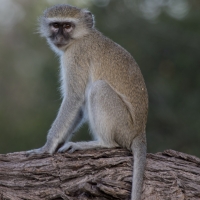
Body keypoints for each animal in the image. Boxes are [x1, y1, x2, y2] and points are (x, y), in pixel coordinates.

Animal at [27, 4, 148, 200]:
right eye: (56, 25)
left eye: (68, 26)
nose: (59, 37)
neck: (81, 36)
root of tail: (140, 132)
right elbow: (79, 107)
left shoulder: (76, 56)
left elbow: (74, 97)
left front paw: (47, 147)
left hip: (123, 127)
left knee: (98, 89)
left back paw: (102, 143)